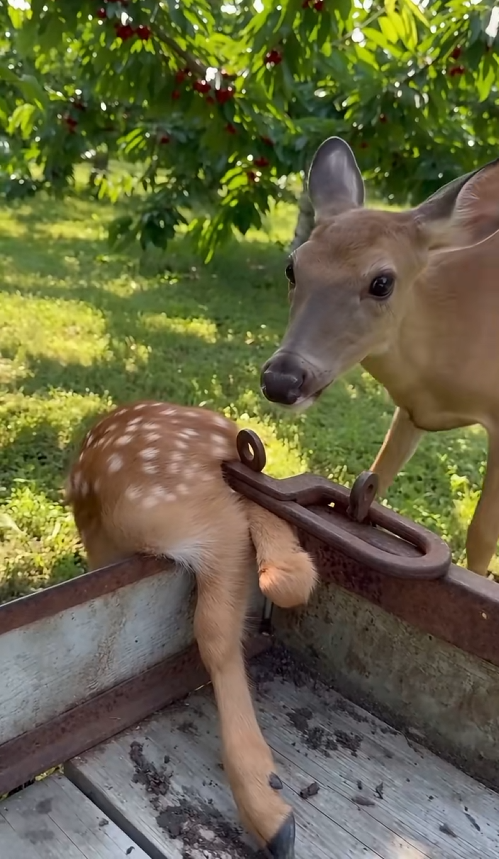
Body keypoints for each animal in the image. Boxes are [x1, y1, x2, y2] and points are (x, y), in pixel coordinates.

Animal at [261, 136, 499, 578]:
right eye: (292, 268)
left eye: (382, 282)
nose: (282, 380)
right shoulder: (411, 410)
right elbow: (377, 483)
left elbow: (481, 534)